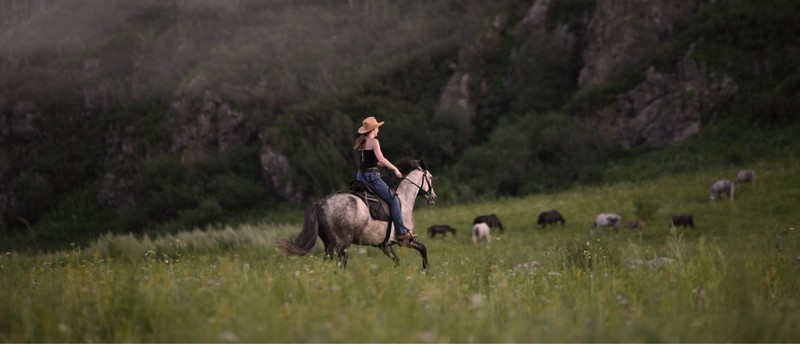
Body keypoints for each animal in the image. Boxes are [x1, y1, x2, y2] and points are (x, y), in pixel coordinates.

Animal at [276, 160, 438, 270]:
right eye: (430, 177)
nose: (433, 197)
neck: (403, 200)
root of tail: (320, 205)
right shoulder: (404, 241)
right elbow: (423, 248)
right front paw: (425, 271)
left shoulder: (384, 245)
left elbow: (396, 261)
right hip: (342, 245)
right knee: (341, 264)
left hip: (329, 245)